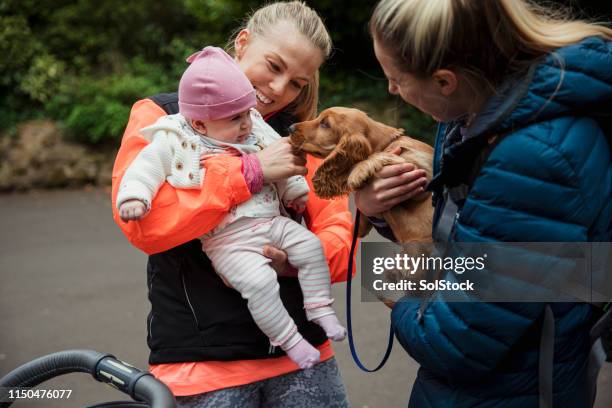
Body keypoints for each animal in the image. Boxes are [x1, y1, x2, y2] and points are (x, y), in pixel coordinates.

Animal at [290, 107, 436, 244]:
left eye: (325, 124)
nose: (290, 128)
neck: (385, 144)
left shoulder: (420, 172)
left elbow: (383, 155)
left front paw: (358, 172)